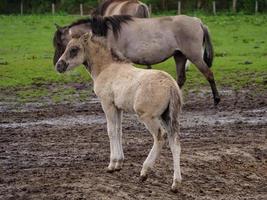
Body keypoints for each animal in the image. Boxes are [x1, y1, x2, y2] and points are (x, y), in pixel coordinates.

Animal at [52, 15, 222, 105]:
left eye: (62, 44)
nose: (57, 65)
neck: (107, 32)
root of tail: (198, 21)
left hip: (194, 56)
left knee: (209, 74)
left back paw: (216, 99)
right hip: (179, 56)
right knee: (180, 79)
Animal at [54, 32, 184, 192]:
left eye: (74, 49)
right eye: (66, 47)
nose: (59, 66)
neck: (106, 68)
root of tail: (171, 85)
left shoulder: (107, 104)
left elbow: (111, 131)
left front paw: (112, 164)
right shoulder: (118, 107)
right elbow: (119, 131)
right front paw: (119, 163)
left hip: (148, 116)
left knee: (160, 136)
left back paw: (144, 172)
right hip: (168, 116)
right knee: (175, 143)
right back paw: (175, 183)